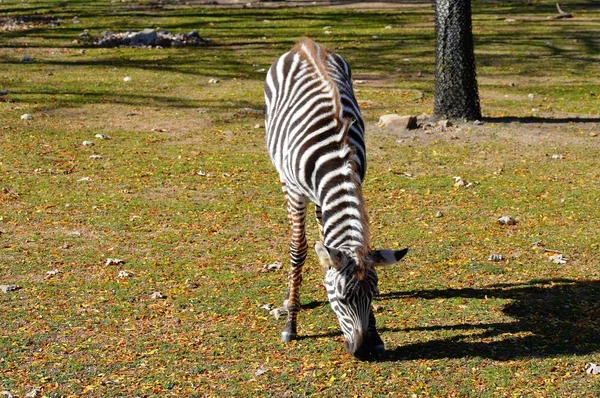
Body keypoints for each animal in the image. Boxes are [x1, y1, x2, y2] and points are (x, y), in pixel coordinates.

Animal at [264, 39, 408, 360]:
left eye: (374, 296)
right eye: (342, 298)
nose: (362, 351)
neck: (334, 154)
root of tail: (305, 45)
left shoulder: (355, 179)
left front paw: (375, 334)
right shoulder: (296, 193)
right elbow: (298, 250)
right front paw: (291, 325)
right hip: (285, 179)